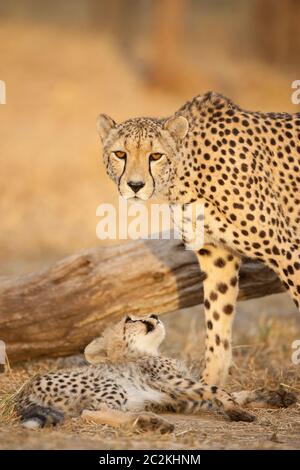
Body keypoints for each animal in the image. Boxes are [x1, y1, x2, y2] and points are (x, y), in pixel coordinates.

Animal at [97, 92, 298, 386]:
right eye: (120, 154)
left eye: (155, 155)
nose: (135, 185)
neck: (186, 173)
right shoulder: (217, 254)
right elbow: (217, 320)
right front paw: (210, 384)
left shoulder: (286, 250)